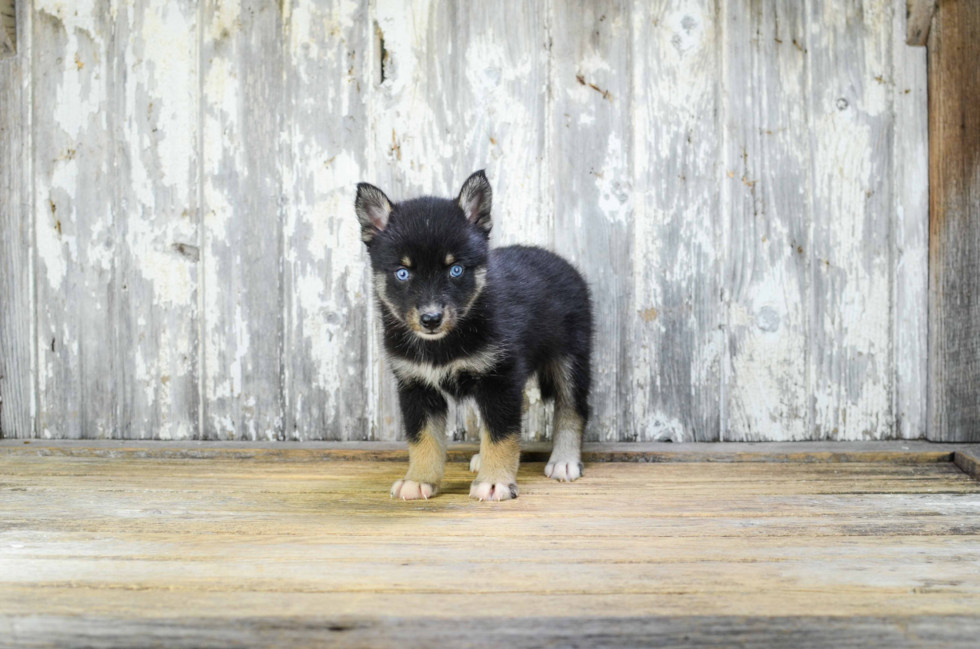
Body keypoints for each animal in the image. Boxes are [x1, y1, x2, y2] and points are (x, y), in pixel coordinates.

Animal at [356, 172, 592, 502]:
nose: (431, 319)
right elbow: (423, 438)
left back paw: (565, 461)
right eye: (403, 273)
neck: (444, 343)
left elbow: (502, 433)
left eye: (455, 270)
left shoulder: (501, 377)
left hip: (571, 357)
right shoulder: (415, 384)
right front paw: (419, 479)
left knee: (573, 408)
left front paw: (494, 482)